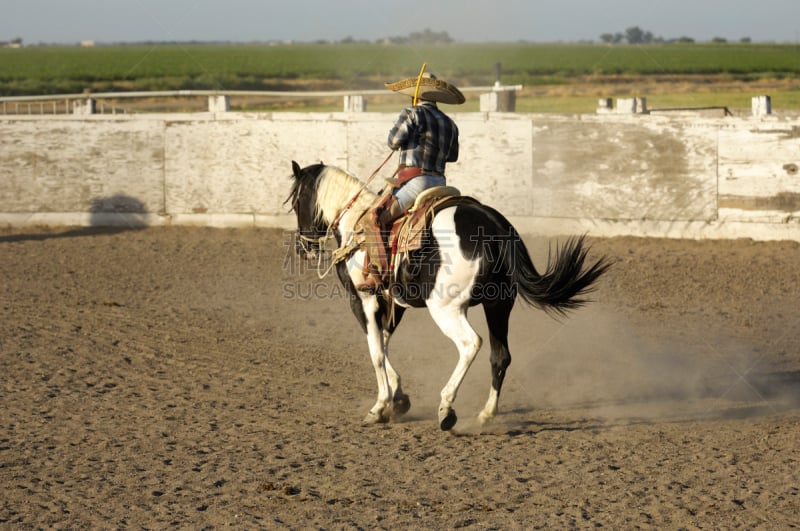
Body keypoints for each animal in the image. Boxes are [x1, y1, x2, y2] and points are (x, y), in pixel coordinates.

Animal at [286, 160, 608, 430]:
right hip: (499, 304)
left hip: (446, 308)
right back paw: (485, 414)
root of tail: (494, 225)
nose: (304, 248)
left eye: (295, 201)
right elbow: (385, 341)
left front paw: (380, 407)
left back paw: (446, 408)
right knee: (500, 355)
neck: (355, 223)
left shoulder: (362, 299)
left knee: (471, 344)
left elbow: (375, 350)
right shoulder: (395, 303)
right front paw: (398, 398)